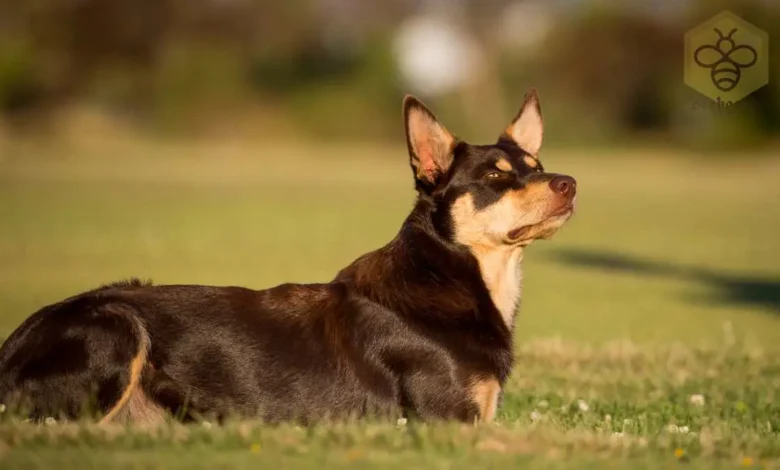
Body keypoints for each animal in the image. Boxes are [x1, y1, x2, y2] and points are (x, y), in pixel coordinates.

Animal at [0, 88, 572, 426]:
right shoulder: (448, 423)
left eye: (536, 165)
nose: (568, 183)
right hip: (117, 326)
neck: (451, 272)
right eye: (495, 175)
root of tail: (11, 347)